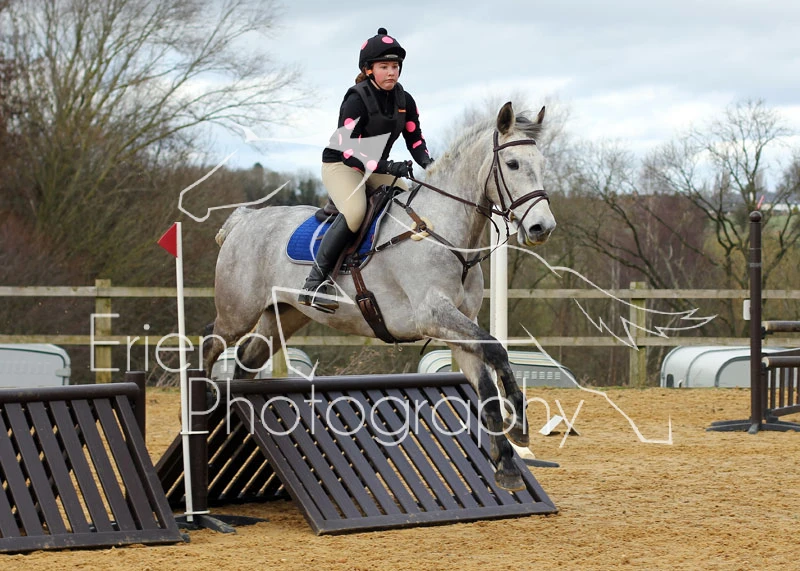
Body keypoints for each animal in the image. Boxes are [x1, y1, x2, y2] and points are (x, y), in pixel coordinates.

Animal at [202, 102, 557, 491]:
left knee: (247, 359)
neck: (444, 232)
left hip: (283, 314)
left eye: (542, 165)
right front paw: (519, 428)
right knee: (210, 343)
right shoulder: (432, 314)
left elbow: (487, 384)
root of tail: (243, 221)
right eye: (513, 164)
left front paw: (507, 463)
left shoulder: (460, 326)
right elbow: (496, 349)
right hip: (237, 312)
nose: (542, 228)